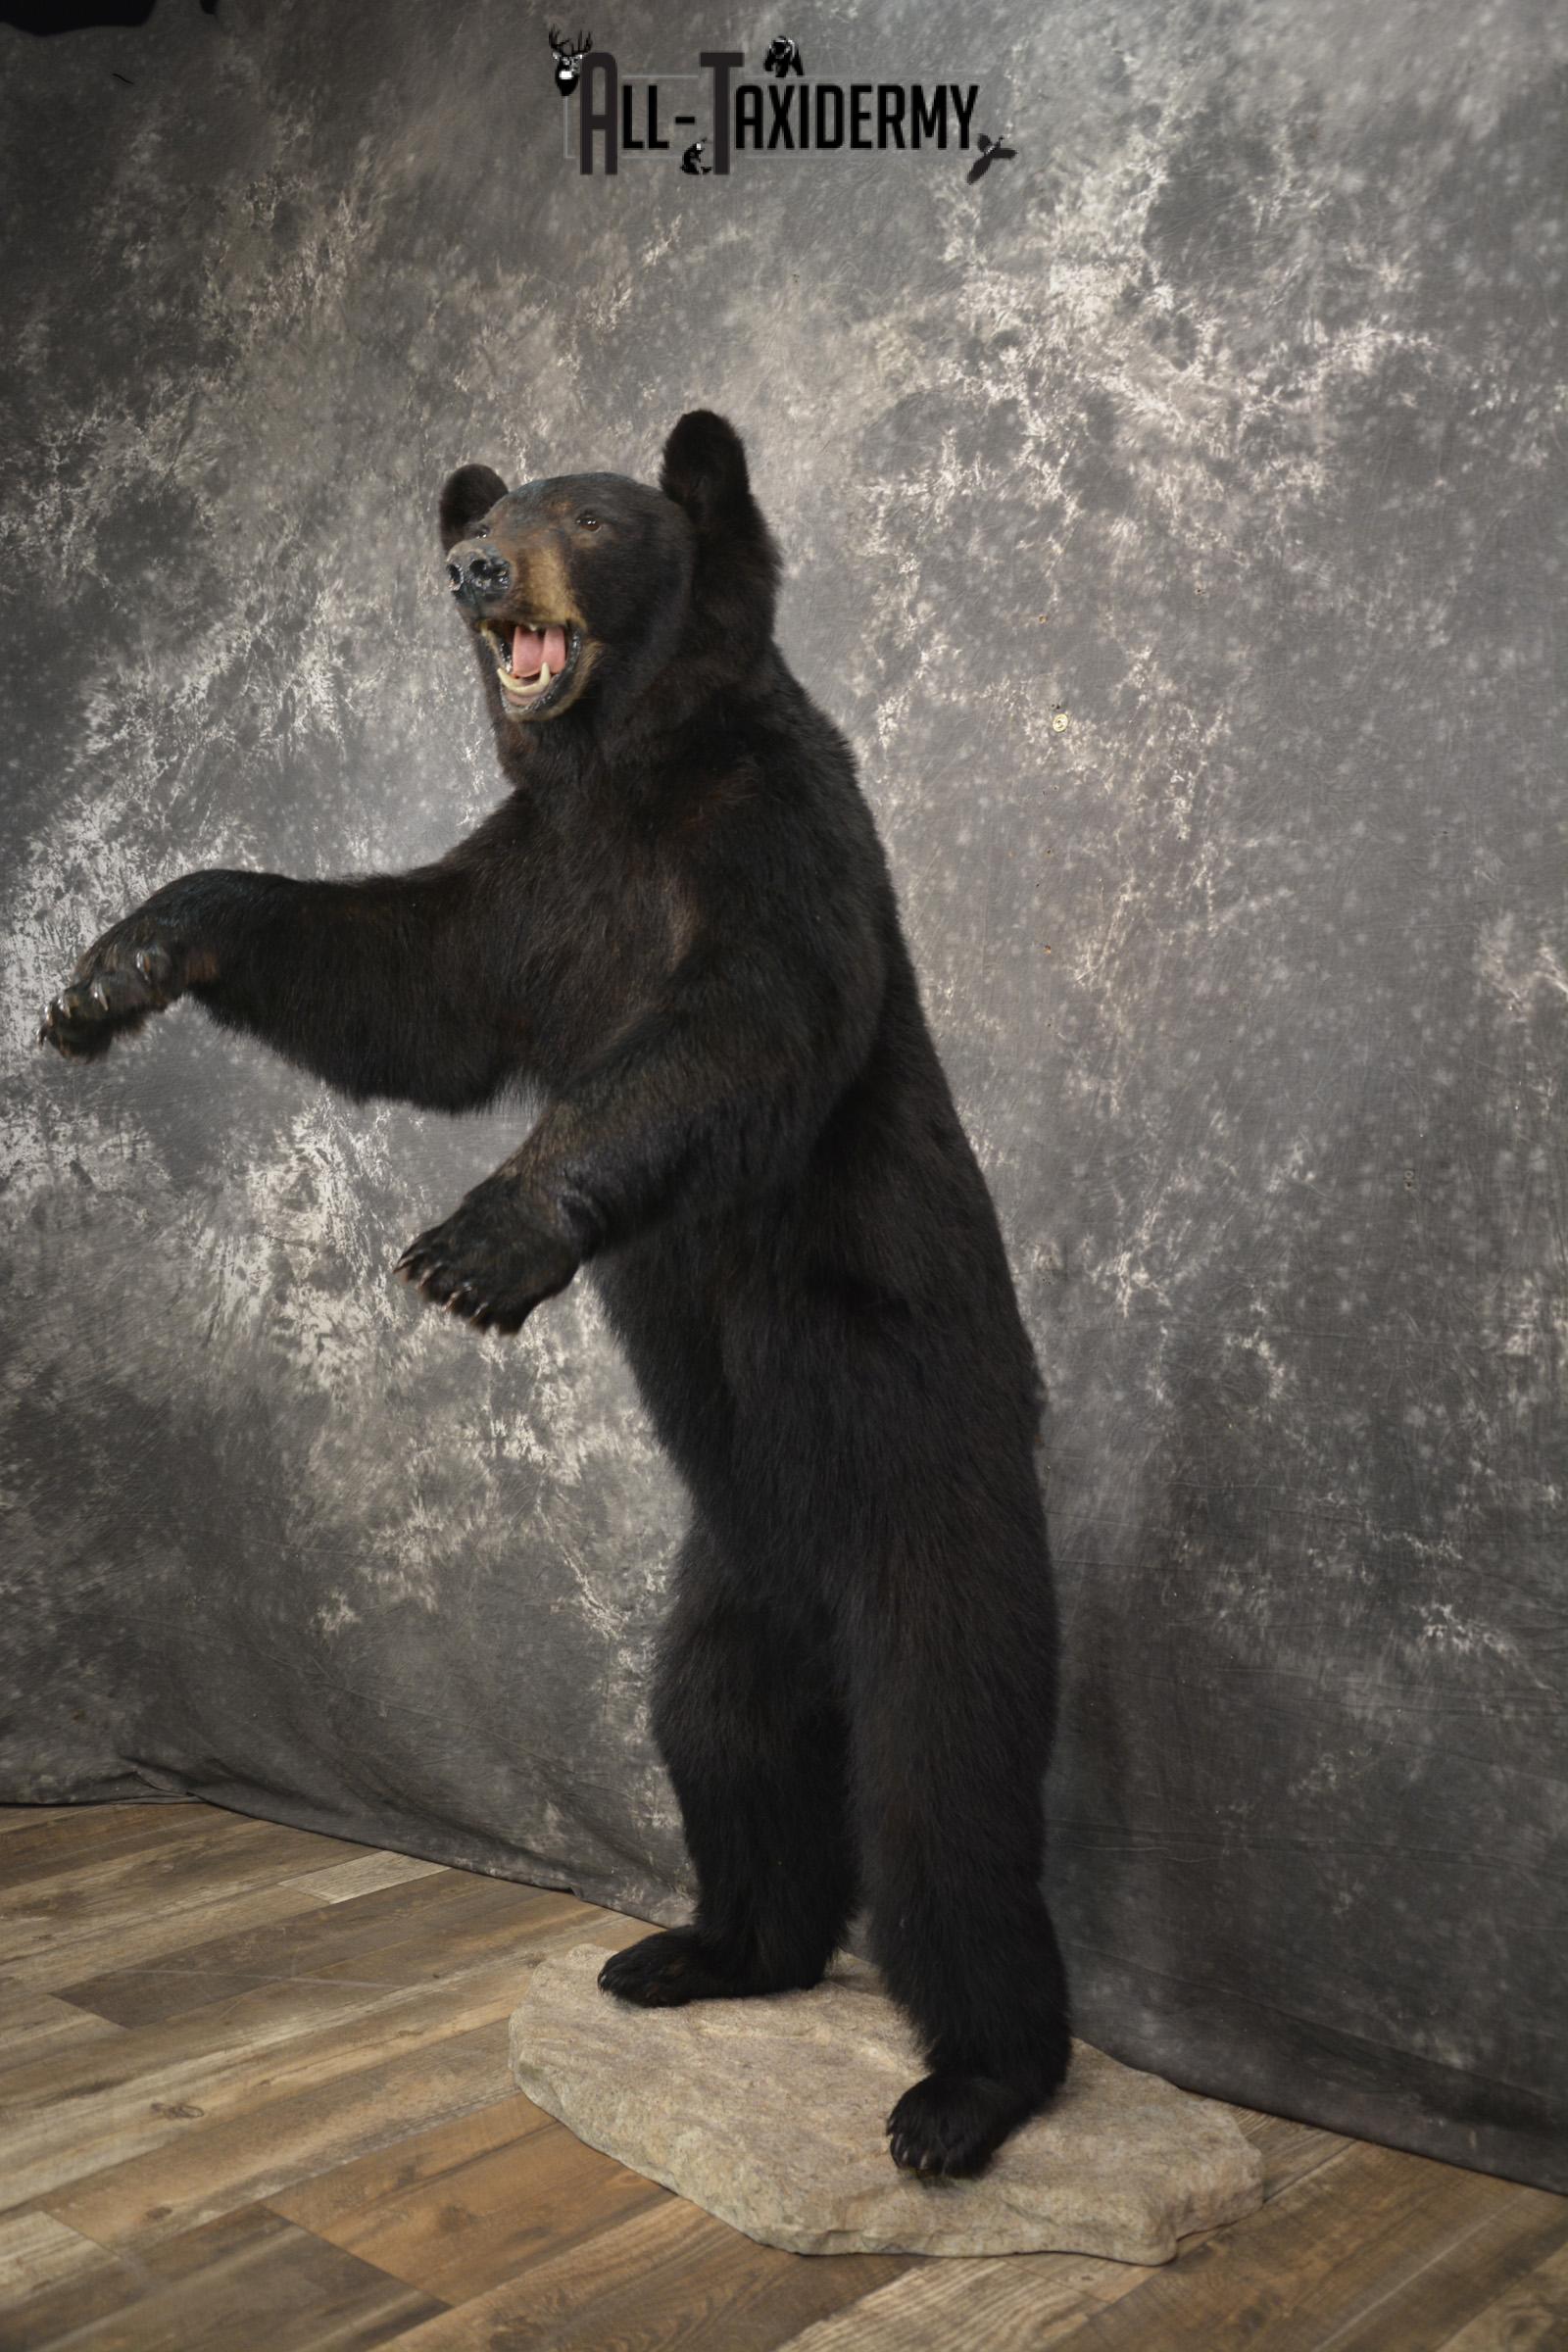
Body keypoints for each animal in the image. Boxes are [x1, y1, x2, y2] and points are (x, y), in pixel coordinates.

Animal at [39, 409, 1072, 2178]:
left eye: (589, 516)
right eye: (497, 504)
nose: (470, 566)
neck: (619, 779)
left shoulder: (773, 836)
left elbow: (742, 1022)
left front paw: (481, 1243)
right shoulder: (522, 888)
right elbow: (402, 979)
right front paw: (120, 965)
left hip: (929, 1500)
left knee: (947, 1799)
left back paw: (967, 2091)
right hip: (725, 1582)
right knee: (724, 1749)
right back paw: (703, 1951)